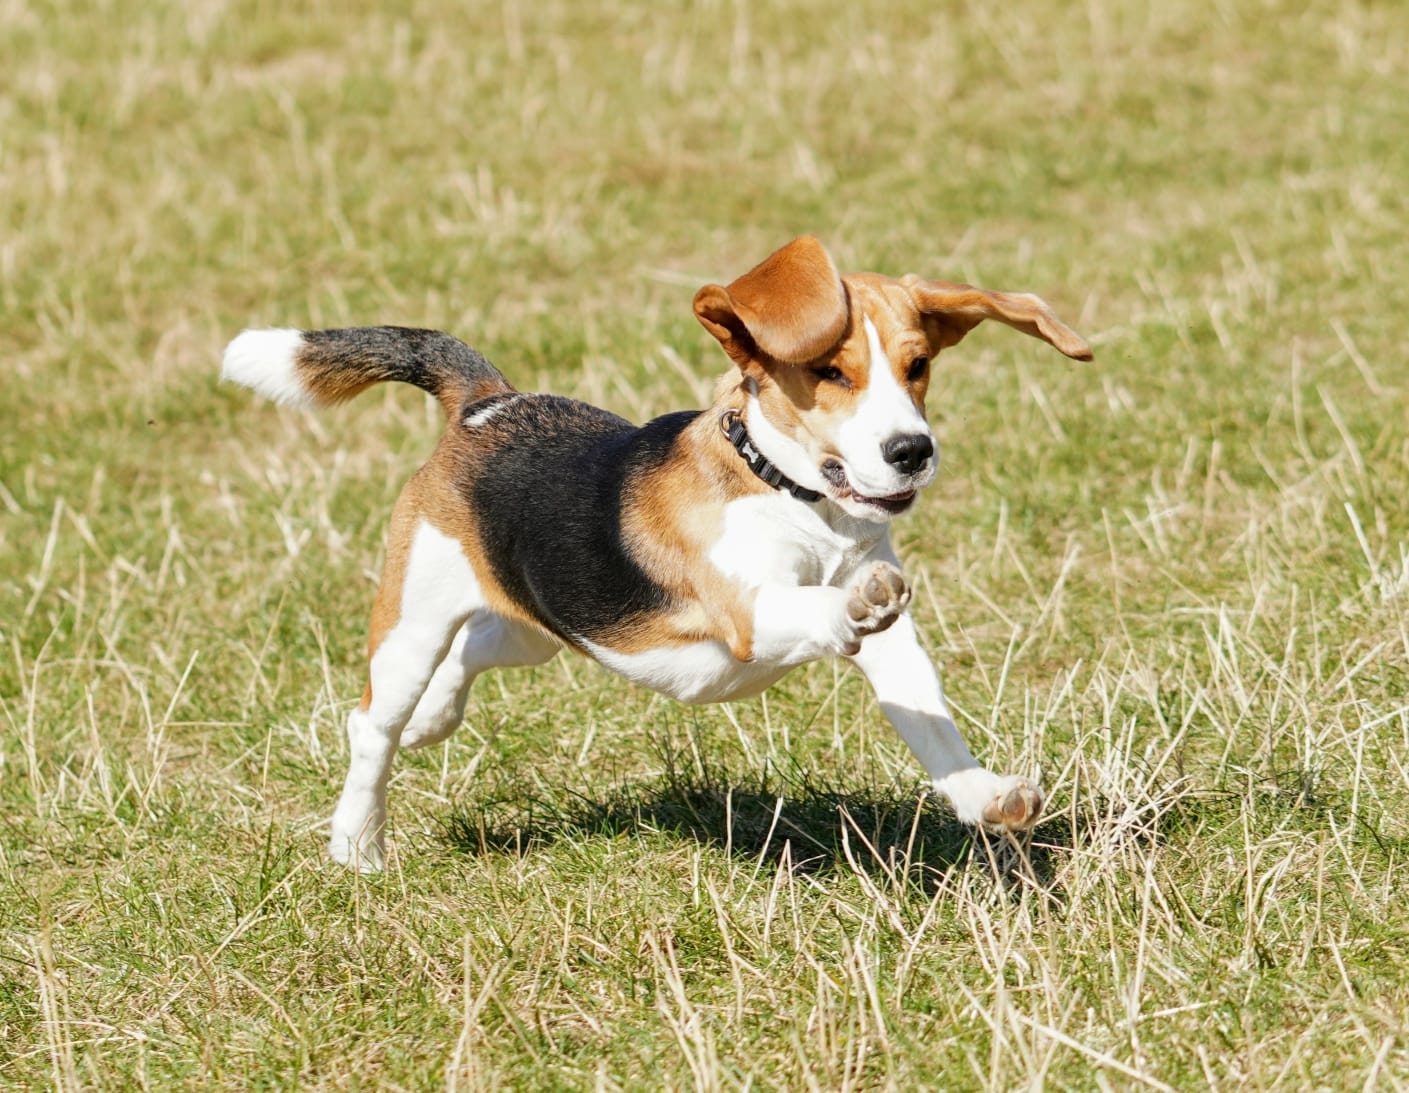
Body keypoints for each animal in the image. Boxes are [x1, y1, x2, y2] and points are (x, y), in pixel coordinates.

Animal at [221, 236, 1092, 871]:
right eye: (829, 371)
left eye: (918, 366)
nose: (912, 450)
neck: (790, 495)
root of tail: (487, 405)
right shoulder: (748, 610)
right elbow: (821, 602)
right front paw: (854, 596)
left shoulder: (893, 650)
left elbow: (930, 722)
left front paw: (985, 796)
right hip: (413, 621)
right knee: (372, 726)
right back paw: (357, 844)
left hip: (543, 623)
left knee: (477, 647)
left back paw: (436, 720)